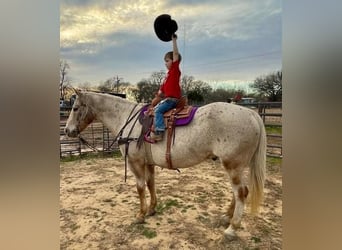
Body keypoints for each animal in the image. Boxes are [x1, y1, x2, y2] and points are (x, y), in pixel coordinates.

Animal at [64, 89, 268, 238]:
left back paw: (232, 228)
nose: (67, 131)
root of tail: (251, 114)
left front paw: (140, 215)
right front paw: (152, 209)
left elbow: (140, 187)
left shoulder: (135, 162)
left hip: (232, 165)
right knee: (240, 192)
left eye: (75, 108)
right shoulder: (149, 163)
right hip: (236, 166)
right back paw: (226, 217)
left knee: (240, 193)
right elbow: (150, 184)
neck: (125, 117)